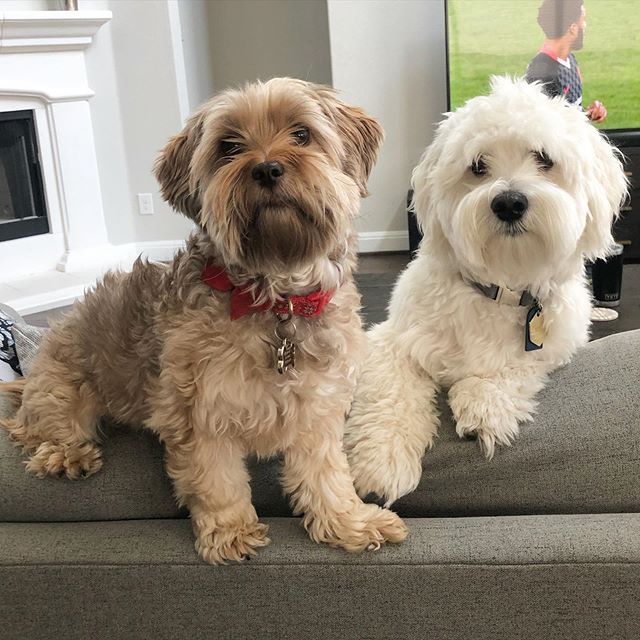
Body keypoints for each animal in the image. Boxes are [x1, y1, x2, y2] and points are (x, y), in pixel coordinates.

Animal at [0, 80, 408, 564]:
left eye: (302, 134)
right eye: (228, 146)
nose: (267, 169)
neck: (275, 301)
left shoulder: (318, 407)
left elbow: (326, 474)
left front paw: (348, 521)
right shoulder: (198, 409)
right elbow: (217, 480)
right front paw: (230, 531)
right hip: (62, 390)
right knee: (38, 430)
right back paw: (65, 455)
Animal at [342, 76, 628, 504]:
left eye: (544, 159)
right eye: (477, 166)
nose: (509, 202)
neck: (502, 283)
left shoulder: (556, 346)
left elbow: (514, 367)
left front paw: (485, 406)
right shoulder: (393, 341)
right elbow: (392, 393)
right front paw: (382, 462)